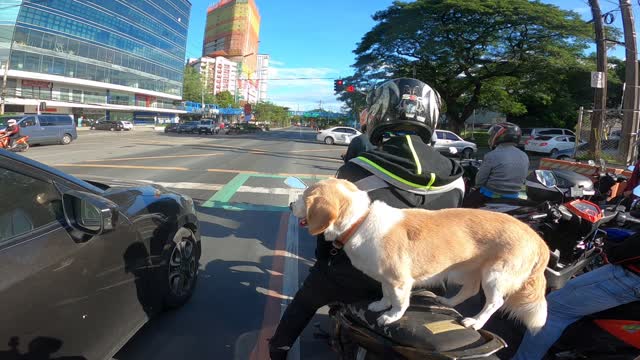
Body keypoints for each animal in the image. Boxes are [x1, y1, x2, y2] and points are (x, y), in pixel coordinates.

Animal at [290, 179, 552, 334]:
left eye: (305, 197)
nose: (291, 203)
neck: (360, 220)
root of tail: (539, 240)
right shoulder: (387, 279)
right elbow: (385, 293)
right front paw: (381, 305)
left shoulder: (400, 281)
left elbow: (400, 302)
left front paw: (391, 316)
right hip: (469, 271)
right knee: (469, 290)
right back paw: (449, 303)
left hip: (494, 276)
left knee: (494, 303)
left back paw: (476, 321)